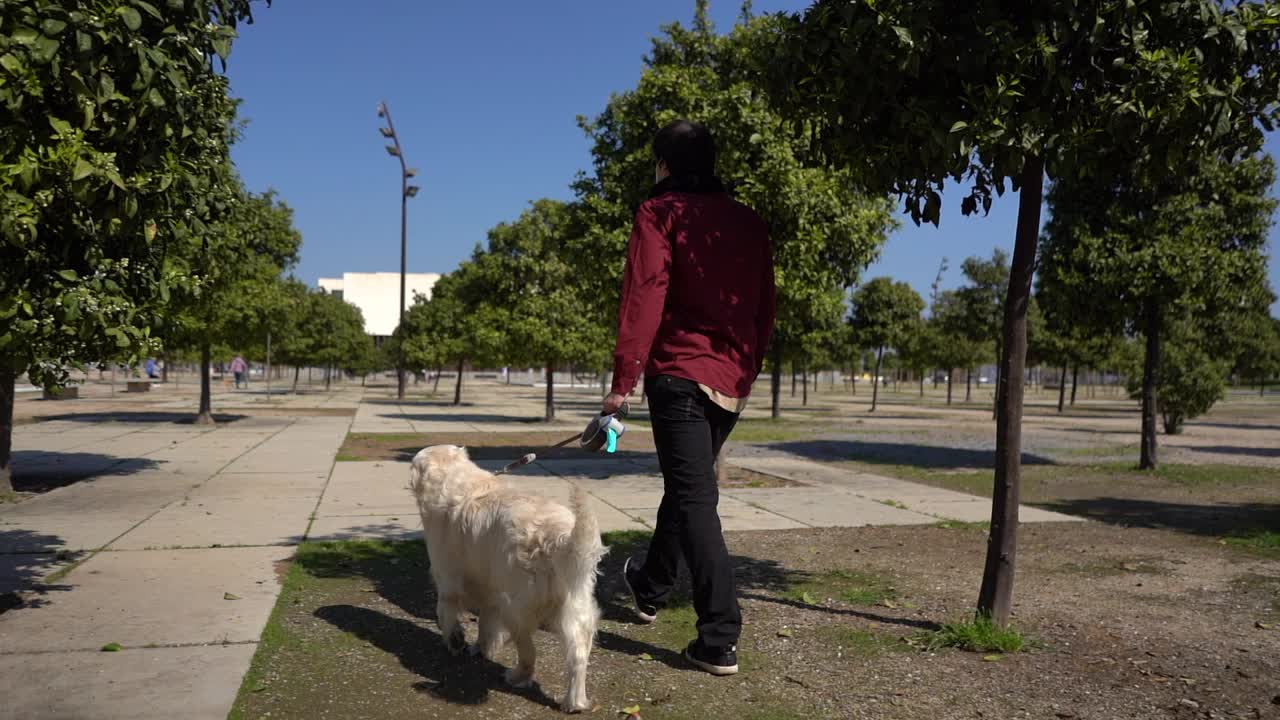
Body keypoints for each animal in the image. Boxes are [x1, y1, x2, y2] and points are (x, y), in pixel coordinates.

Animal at [409, 440, 609, 707]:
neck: (455, 477)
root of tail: (558, 538)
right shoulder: (489, 588)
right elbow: (486, 623)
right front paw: (483, 647)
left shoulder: (448, 579)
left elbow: (447, 613)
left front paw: (457, 643)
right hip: (575, 606)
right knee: (577, 654)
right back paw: (574, 702)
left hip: (516, 608)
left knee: (529, 653)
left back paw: (516, 677)